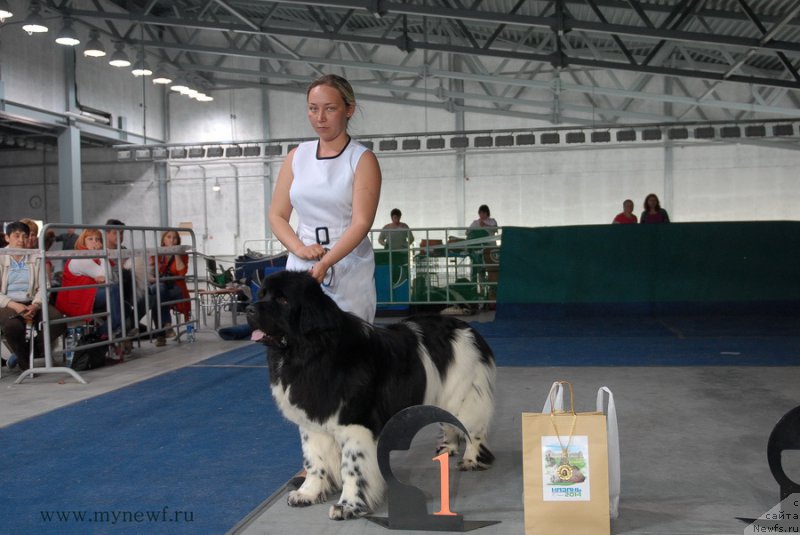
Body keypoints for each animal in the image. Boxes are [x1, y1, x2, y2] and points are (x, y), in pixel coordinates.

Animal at [245, 270, 494, 520]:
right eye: (262, 294)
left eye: (283, 300)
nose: (248, 309)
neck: (313, 351)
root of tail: (467, 329)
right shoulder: (313, 424)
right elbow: (315, 460)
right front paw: (307, 493)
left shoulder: (355, 425)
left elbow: (351, 467)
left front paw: (348, 506)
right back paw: (447, 448)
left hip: (463, 396)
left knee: (472, 430)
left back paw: (472, 460)